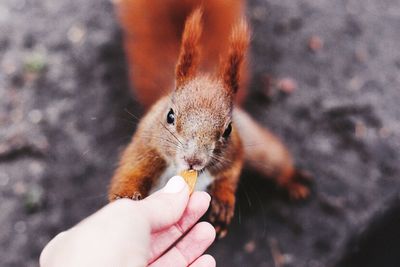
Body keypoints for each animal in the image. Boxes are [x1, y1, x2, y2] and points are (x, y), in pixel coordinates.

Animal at [110, 0, 312, 239]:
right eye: (170, 116)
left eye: (228, 129)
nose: (193, 159)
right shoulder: (145, 147)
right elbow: (130, 170)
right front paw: (125, 197)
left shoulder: (236, 151)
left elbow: (231, 175)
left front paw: (223, 202)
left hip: (257, 145)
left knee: (274, 158)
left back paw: (292, 181)